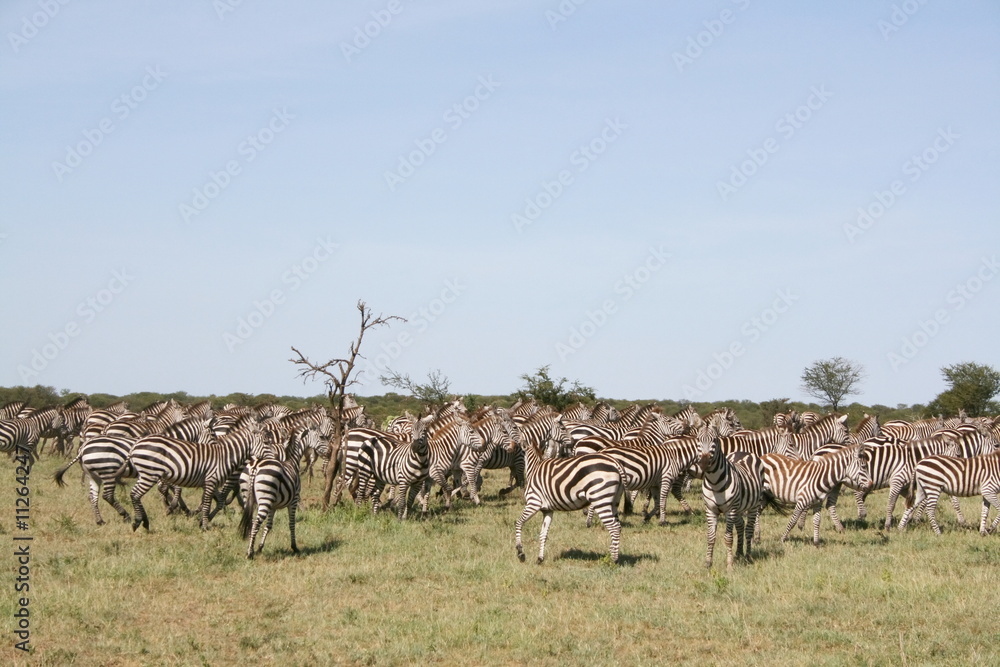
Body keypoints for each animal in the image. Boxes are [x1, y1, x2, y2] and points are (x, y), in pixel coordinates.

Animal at [239, 425, 330, 559]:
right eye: (321, 437)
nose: (330, 451)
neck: (292, 461)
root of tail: (255, 466)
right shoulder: (294, 500)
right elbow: (292, 523)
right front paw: (294, 547)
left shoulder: (273, 506)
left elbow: (269, 525)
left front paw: (260, 547)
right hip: (265, 498)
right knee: (256, 524)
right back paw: (249, 553)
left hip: (248, 497)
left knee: (251, 522)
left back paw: (251, 549)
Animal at [509, 410, 626, 564]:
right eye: (563, 428)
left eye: (515, 431)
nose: (510, 447)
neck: (535, 465)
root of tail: (616, 463)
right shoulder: (547, 509)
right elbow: (543, 534)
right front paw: (540, 558)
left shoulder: (533, 503)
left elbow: (518, 523)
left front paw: (520, 552)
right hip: (613, 501)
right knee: (618, 526)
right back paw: (614, 556)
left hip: (601, 499)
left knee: (613, 527)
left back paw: (613, 560)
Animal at [698, 424, 769, 569]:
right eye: (698, 439)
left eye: (714, 440)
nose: (704, 463)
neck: (714, 482)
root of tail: (745, 452)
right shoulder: (710, 510)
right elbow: (710, 537)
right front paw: (708, 563)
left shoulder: (730, 510)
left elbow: (728, 537)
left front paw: (729, 565)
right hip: (739, 507)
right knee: (741, 526)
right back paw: (739, 553)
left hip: (753, 505)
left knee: (748, 529)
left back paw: (747, 556)